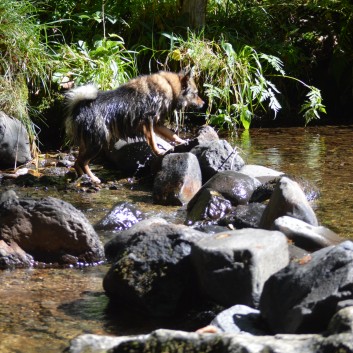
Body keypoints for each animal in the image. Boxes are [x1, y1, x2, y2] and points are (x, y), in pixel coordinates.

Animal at [64, 70, 205, 183]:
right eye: (195, 93)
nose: (204, 103)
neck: (169, 86)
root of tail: (79, 108)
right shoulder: (148, 121)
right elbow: (152, 139)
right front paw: (158, 151)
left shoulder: (156, 124)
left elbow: (171, 134)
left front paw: (183, 141)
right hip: (97, 144)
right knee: (83, 162)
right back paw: (93, 178)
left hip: (87, 144)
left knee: (76, 162)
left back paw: (82, 177)